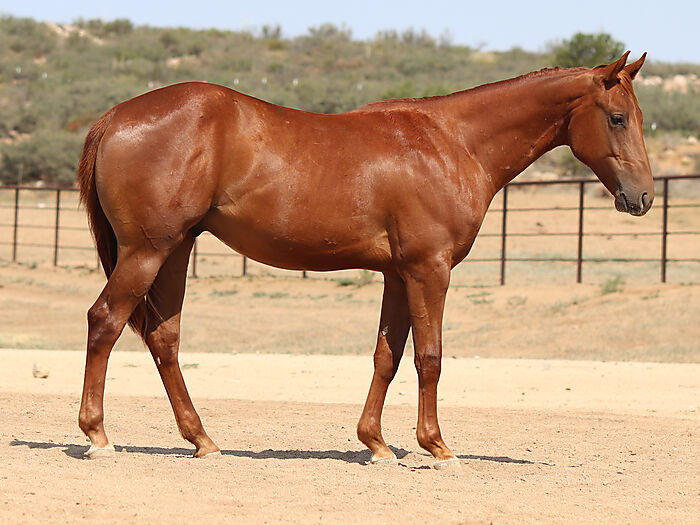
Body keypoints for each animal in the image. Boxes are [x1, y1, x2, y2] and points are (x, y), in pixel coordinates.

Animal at [77, 52, 652, 468]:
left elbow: (387, 357)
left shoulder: (397, 276)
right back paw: (98, 436)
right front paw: (437, 447)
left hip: (175, 250)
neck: (451, 143)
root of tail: (115, 116)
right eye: (618, 118)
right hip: (148, 251)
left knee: (163, 339)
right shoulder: (428, 270)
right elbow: (429, 357)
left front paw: (375, 444)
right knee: (104, 321)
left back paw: (203, 440)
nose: (643, 197)